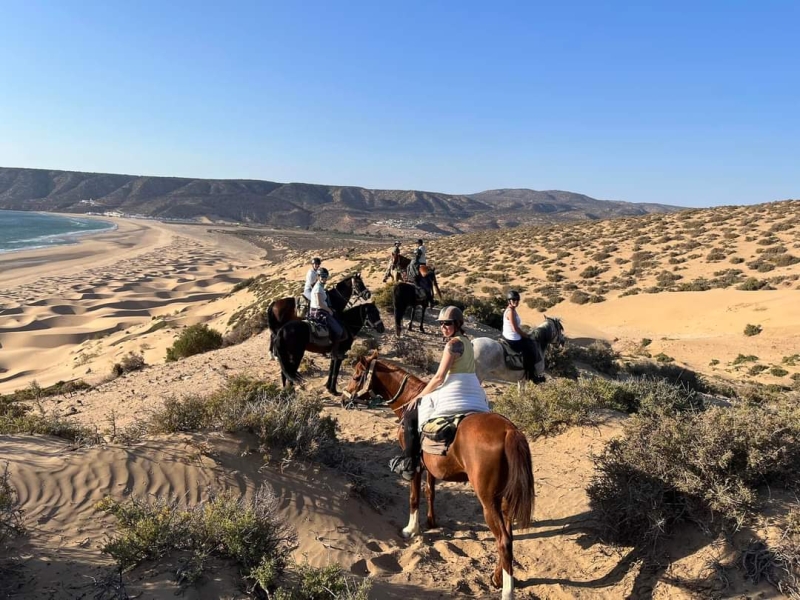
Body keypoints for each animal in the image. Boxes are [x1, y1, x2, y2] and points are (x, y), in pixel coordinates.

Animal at [342, 352, 532, 600]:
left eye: (356, 376)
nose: (343, 398)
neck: (410, 398)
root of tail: (510, 431)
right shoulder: (430, 467)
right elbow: (430, 491)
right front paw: (432, 522)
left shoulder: (415, 465)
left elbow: (414, 496)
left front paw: (411, 529)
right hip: (505, 499)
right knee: (508, 537)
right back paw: (497, 578)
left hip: (488, 500)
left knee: (503, 540)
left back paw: (507, 591)